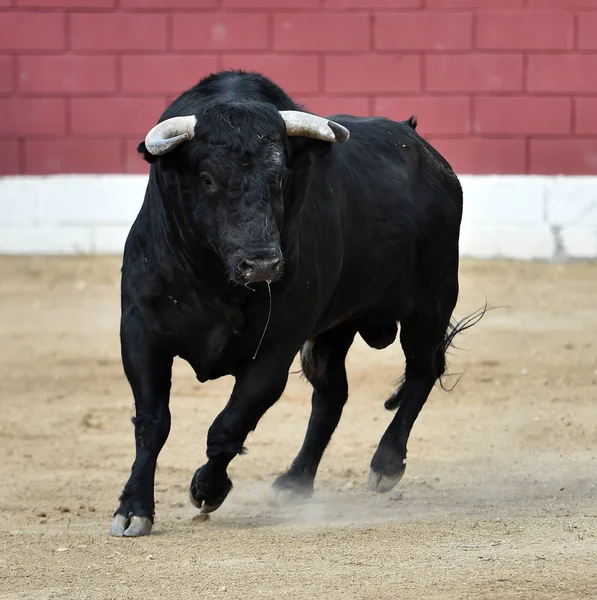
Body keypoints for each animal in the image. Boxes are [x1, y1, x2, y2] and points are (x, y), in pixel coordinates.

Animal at [108, 70, 480, 540]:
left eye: (281, 177)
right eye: (207, 179)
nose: (263, 264)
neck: (214, 280)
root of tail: (426, 152)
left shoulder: (276, 347)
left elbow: (228, 425)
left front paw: (207, 489)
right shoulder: (141, 332)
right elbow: (152, 422)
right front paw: (133, 508)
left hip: (430, 302)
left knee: (420, 373)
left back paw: (386, 463)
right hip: (337, 327)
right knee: (332, 394)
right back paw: (296, 480)